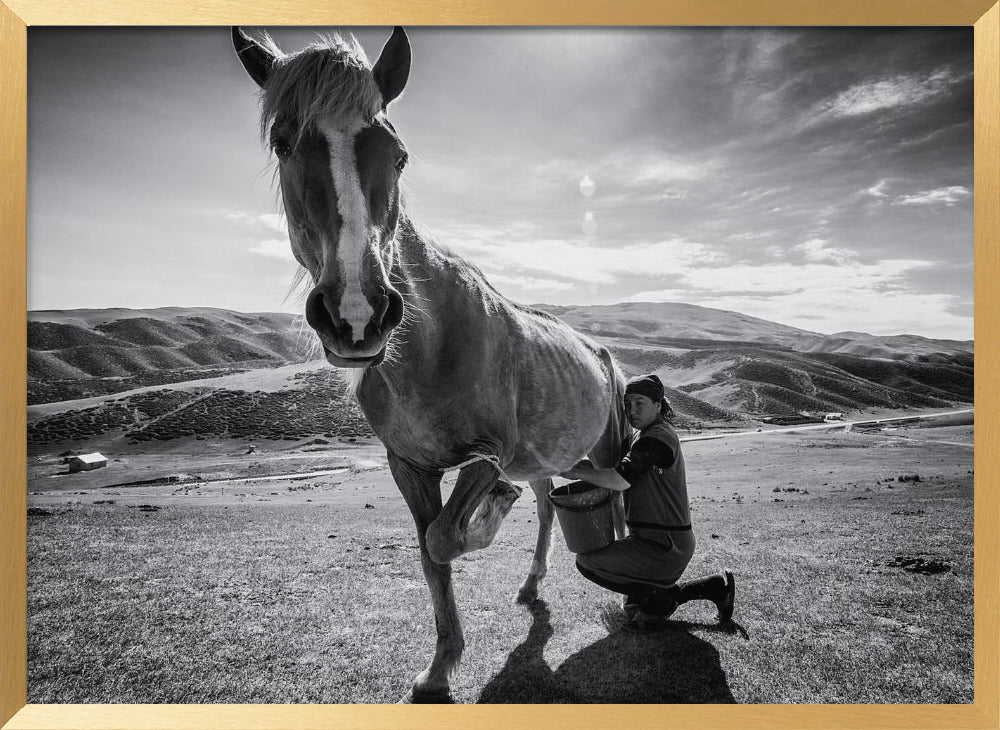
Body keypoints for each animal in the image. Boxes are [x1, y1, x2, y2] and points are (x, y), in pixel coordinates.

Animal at [233, 26, 630, 703]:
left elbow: (448, 539)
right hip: (545, 458)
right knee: (548, 502)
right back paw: (531, 581)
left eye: (398, 155)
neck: (429, 347)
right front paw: (440, 670)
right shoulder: (408, 465)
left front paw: (487, 517)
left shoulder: (489, 452)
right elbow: (430, 553)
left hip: (605, 444)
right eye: (283, 144)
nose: (358, 313)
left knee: (619, 499)